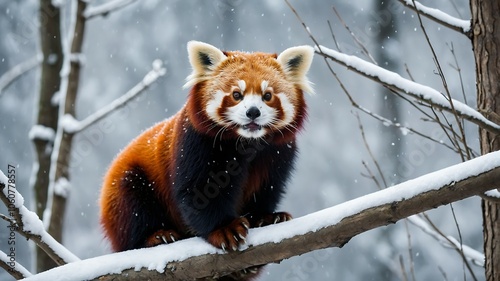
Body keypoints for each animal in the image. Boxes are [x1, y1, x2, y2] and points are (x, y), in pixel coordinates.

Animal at [99, 40, 312, 278]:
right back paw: (157, 236)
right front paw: (224, 228)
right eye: (236, 94)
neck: (246, 142)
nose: (253, 112)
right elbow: (199, 191)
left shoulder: (278, 154)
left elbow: (267, 187)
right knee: (133, 211)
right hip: (127, 185)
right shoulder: (197, 143)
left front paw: (264, 217)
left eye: (267, 95)